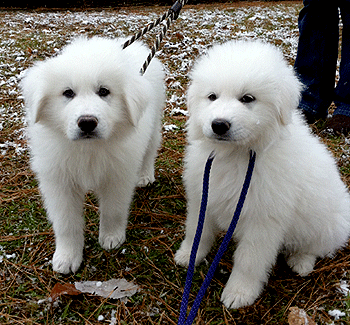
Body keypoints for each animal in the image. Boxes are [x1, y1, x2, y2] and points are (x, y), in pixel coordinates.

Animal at [21, 36, 165, 272]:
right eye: (68, 93)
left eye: (104, 91)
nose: (87, 123)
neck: (88, 149)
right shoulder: (59, 184)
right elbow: (66, 223)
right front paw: (67, 257)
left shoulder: (117, 177)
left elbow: (113, 211)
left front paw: (111, 238)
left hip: (153, 123)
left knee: (149, 150)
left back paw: (144, 175)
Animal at [176, 41, 350, 308]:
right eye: (212, 96)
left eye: (248, 98)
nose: (219, 125)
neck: (237, 155)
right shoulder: (203, 195)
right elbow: (197, 230)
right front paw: (188, 255)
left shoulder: (263, 220)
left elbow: (249, 260)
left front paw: (238, 293)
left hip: (325, 223)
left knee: (317, 246)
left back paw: (301, 262)